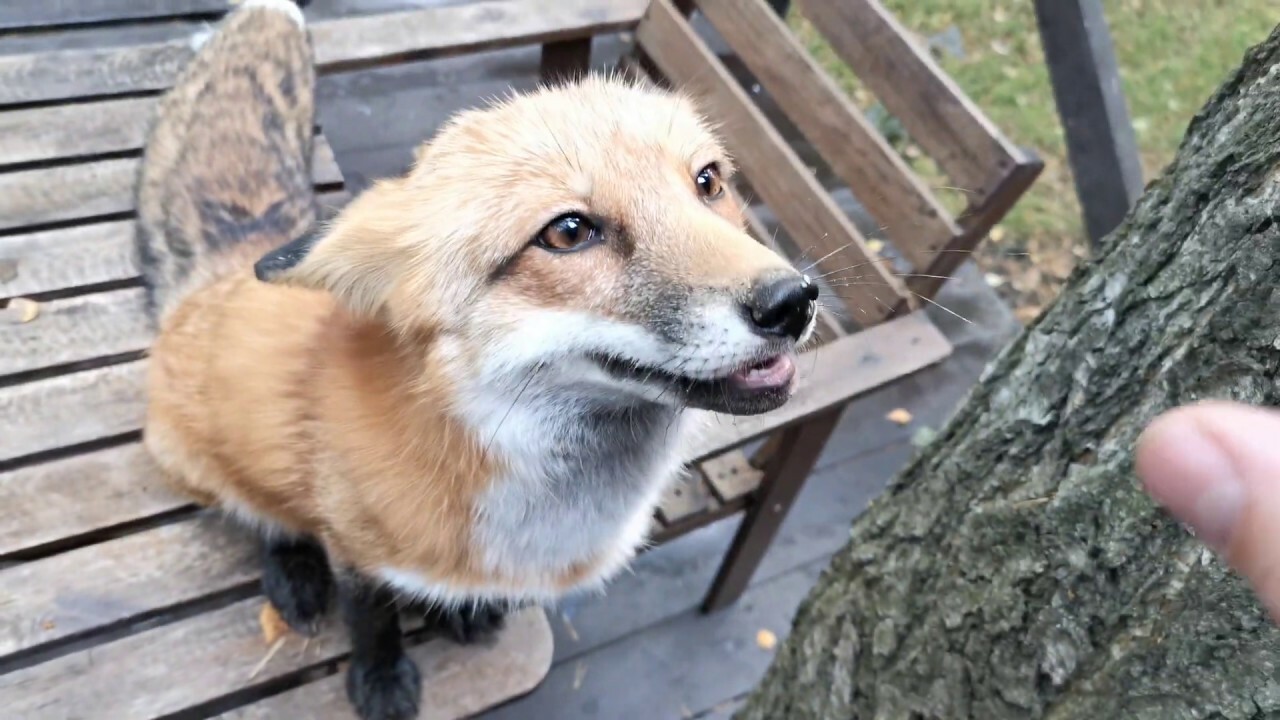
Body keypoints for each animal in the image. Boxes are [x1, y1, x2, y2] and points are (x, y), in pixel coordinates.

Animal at [137, 1, 819, 717]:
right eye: (568, 232)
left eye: (708, 181)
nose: (793, 302)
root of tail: (221, 273)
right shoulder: (353, 544)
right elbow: (372, 618)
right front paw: (380, 679)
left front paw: (461, 612)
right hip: (199, 459)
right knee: (260, 516)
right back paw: (292, 571)